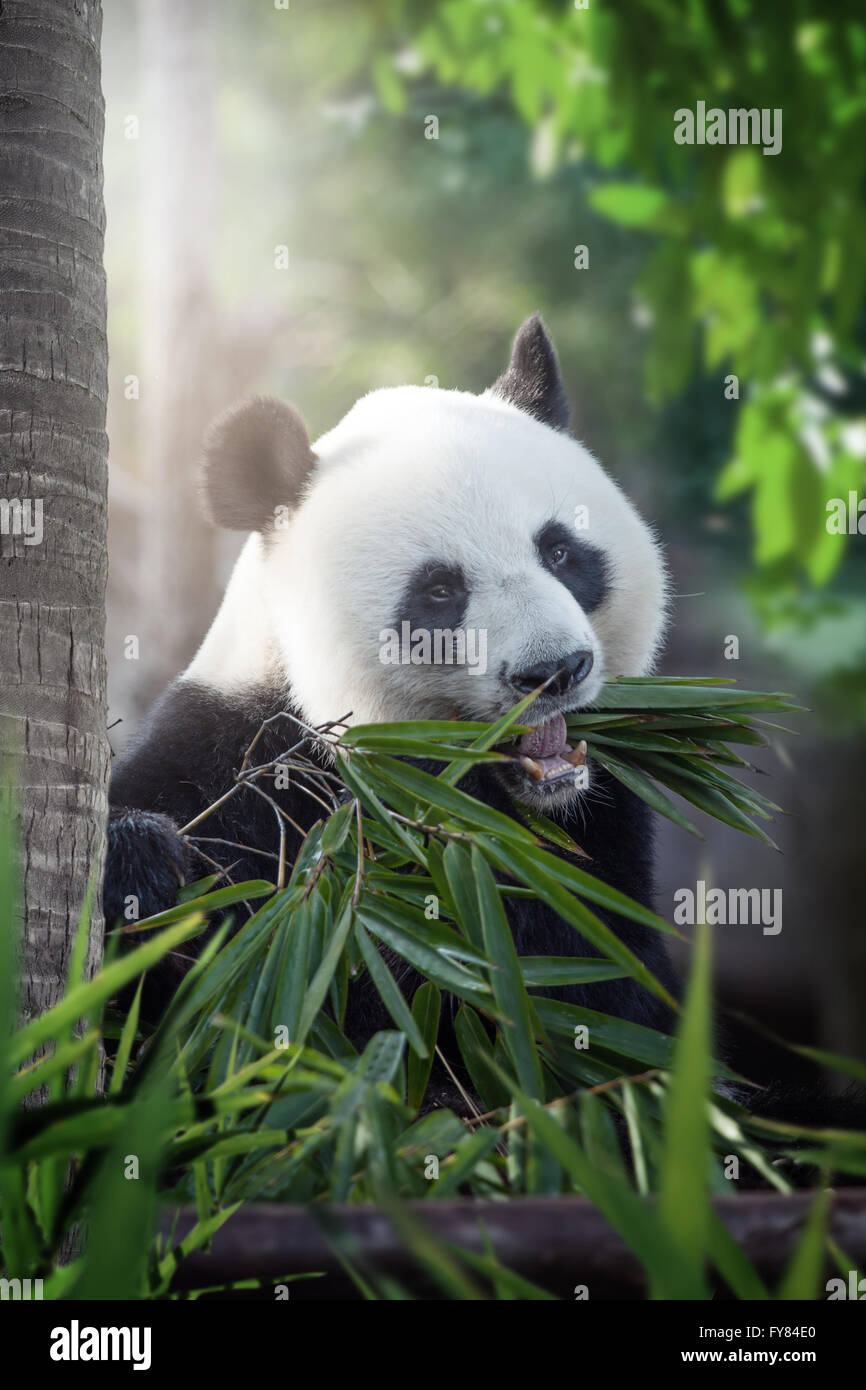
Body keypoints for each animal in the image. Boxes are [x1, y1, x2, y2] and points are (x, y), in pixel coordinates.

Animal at [105, 314, 680, 1040]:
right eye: (439, 590)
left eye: (559, 551)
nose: (553, 670)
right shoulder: (235, 757)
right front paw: (138, 868)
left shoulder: (601, 830)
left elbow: (593, 983)